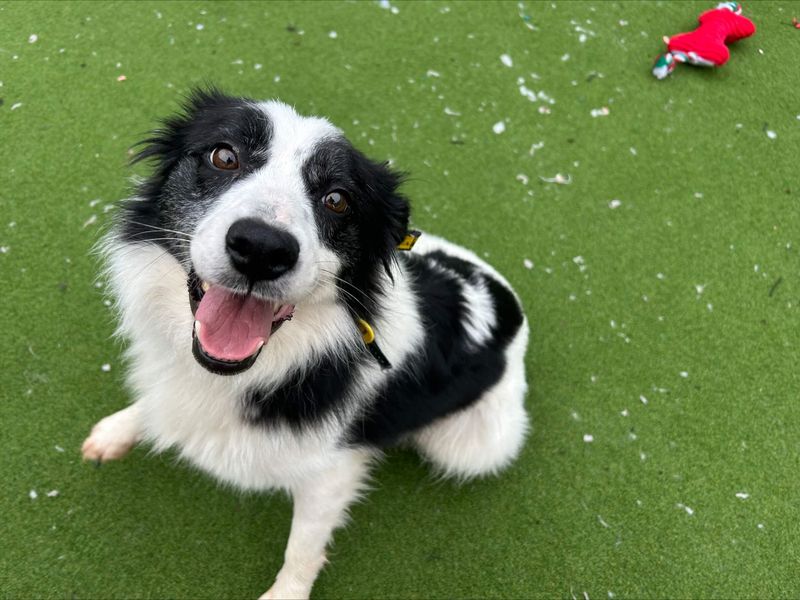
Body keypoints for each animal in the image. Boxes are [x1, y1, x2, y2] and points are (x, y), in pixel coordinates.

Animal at [83, 86, 532, 596]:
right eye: (224, 156)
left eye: (337, 199)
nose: (261, 248)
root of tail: (510, 305)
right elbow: (157, 402)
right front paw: (117, 431)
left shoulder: (331, 472)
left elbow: (302, 547)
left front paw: (286, 592)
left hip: (474, 446)